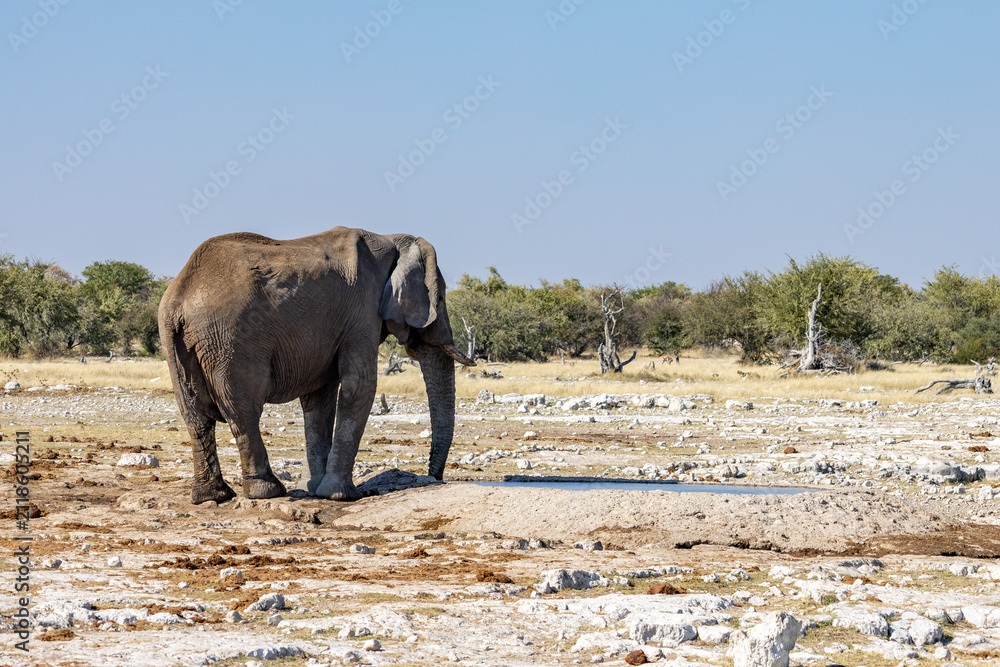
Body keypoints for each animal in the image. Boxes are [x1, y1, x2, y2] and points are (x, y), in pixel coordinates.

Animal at [157, 227, 475, 504]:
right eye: (441, 297)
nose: (433, 477)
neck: (392, 238)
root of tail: (179, 295)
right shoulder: (361, 312)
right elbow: (359, 385)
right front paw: (341, 495)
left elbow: (320, 398)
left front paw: (311, 490)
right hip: (230, 340)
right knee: (243, 411)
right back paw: (267, 491)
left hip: (177, 340)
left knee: (196, 416)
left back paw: (213, 496)